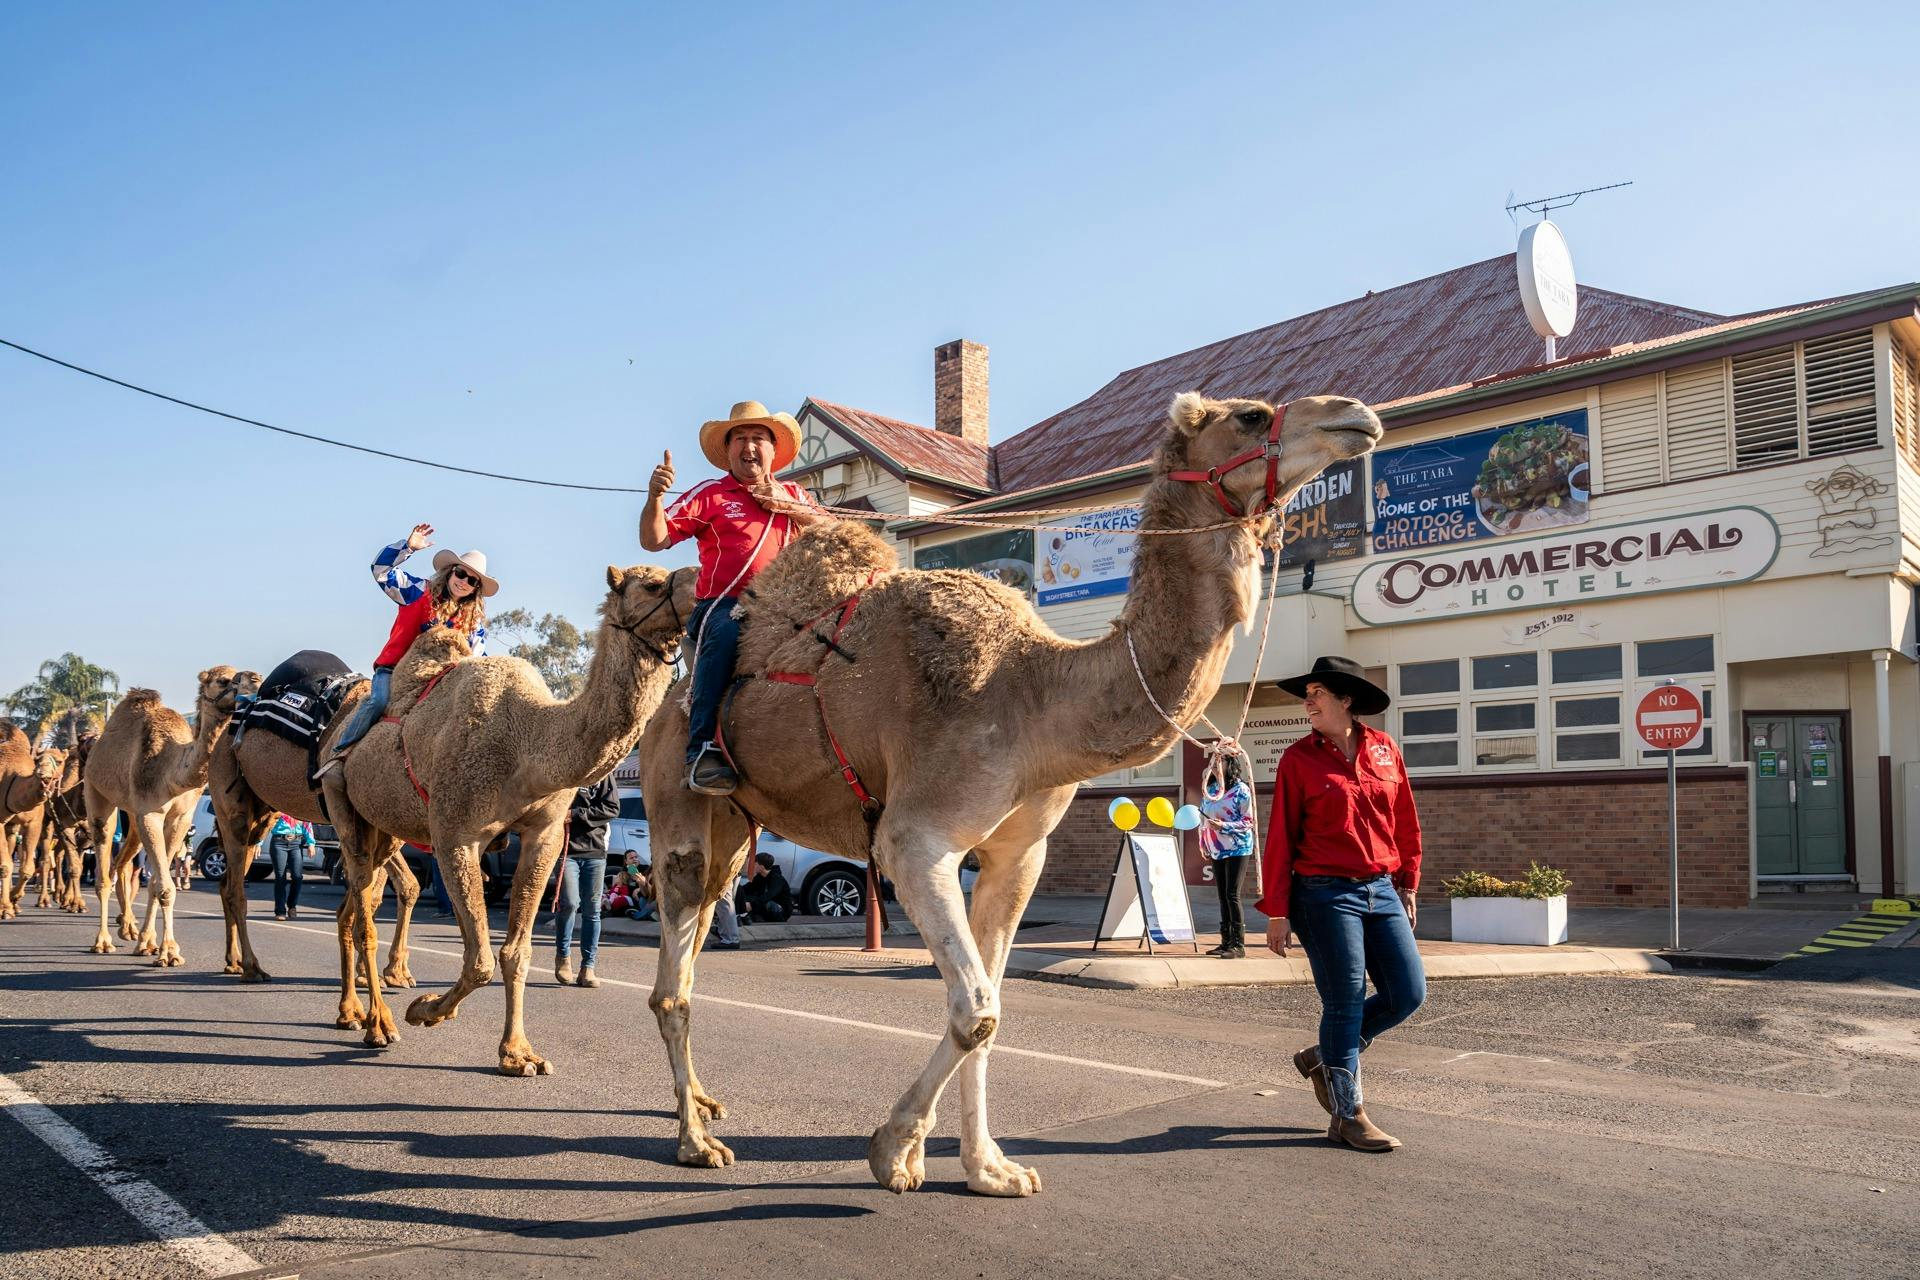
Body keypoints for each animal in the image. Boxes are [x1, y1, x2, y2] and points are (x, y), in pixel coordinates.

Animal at [83, 667, 261, 963]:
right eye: (224, 680)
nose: (257, 679)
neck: (173, 770)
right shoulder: (150, 813)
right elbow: (165, 886)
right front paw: (168, 951)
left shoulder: (180, 818)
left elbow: (158, 881)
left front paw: (150, 943)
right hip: (97, 795)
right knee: (103, 869)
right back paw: (102, 941)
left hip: (131, 815)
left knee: (121, 864)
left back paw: (128, 927)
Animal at [207, 662, 424, 996]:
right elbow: (374, 892)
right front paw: (374, 974)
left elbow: (398, 888)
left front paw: (388, 972)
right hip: (231, 804)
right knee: (235, 889)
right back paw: (252, 967)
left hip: (261, 817)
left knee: (227, 881)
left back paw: (233, 961)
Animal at [321, 563, 694, 1071]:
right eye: (653, 585)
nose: (704, 585)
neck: (529, 738)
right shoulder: (455, 834)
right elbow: (479, 958)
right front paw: (425, 1011)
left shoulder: (545, 835)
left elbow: (515, 953)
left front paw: (519, 1054)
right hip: (342, 803)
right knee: (363, 918)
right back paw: (380, 1025)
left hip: (385, 826)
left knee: (351, 910)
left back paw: (350, 1013)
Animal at [639, 391, 1381, 1196]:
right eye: (1250, 416)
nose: (1355, 415)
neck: (1030, 695)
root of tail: (666, 708)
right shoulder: (916, 842)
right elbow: (976, 1010)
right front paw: (894, 1149)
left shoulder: (1017, 854)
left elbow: (991, 1014)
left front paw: (988, 1168)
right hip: (675, 798)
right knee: (673, 976)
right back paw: (696, 1142)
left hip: (736, 832)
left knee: (700, 938)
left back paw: (703, 1111)